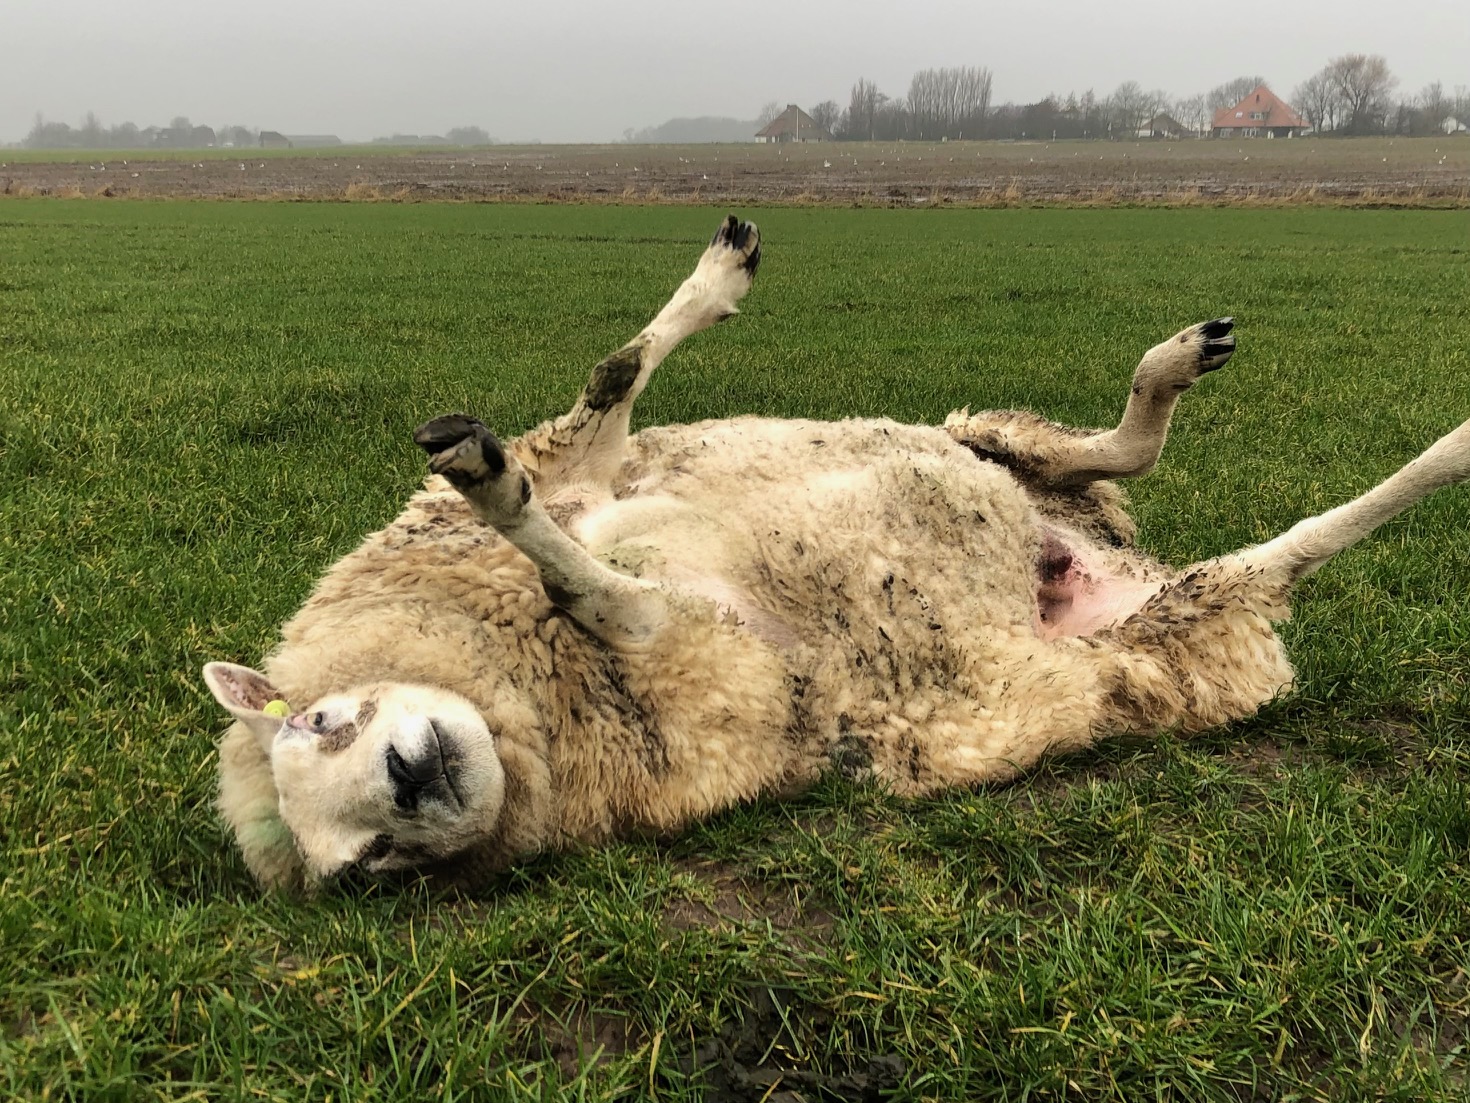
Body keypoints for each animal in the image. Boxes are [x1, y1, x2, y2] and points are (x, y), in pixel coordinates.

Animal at [198, 217, 1470, 900]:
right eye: (369, 867)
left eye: (325, 721)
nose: (415, 778)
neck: (526, 675)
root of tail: (1119, 565)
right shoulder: (739, 669)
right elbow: (593, 584)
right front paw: (499, 491)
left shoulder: (586, 470)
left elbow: (611, 382)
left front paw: (712, 282)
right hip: (1186, 628)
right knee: (1302, 540)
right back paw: (1448, 447)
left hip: (1000, 441)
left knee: (1116, 447)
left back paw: (1176, 367)